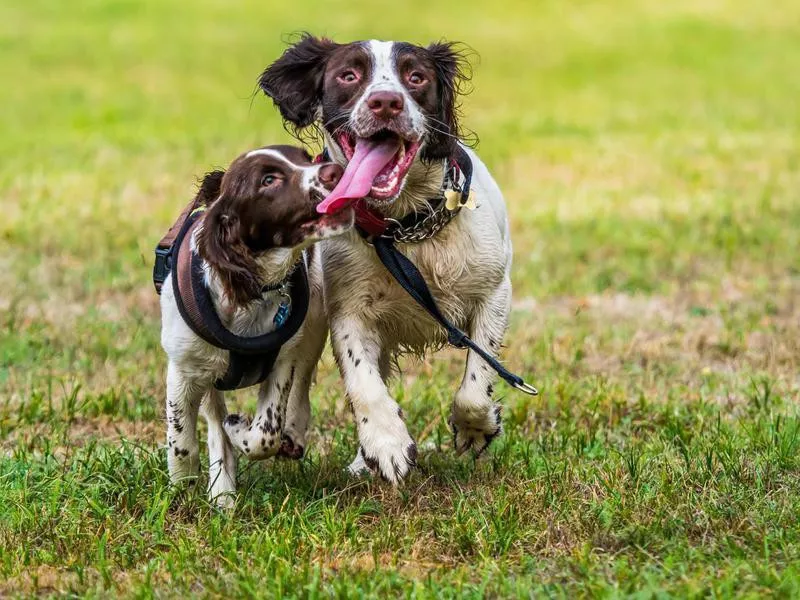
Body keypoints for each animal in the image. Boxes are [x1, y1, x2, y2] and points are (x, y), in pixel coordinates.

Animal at [158, 145, 352, 506]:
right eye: (268, 180)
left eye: (306, 158)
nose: (335, 170)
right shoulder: (183, 370)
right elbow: (182, 440)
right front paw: (183, 487)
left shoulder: (282, 361)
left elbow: (265, 434)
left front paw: (240, 429)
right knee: (212, 417)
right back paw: (222, 491)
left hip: (313, 323)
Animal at [260, 37, 516, 482]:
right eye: (349, 75)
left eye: (416, 76)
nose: (385, 103)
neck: (404, 228)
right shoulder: (348, 311)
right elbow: (363, 382)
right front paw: (386, 442)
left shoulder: (495, 293)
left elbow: (476, 383)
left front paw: (475, 430)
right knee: (302, 369)